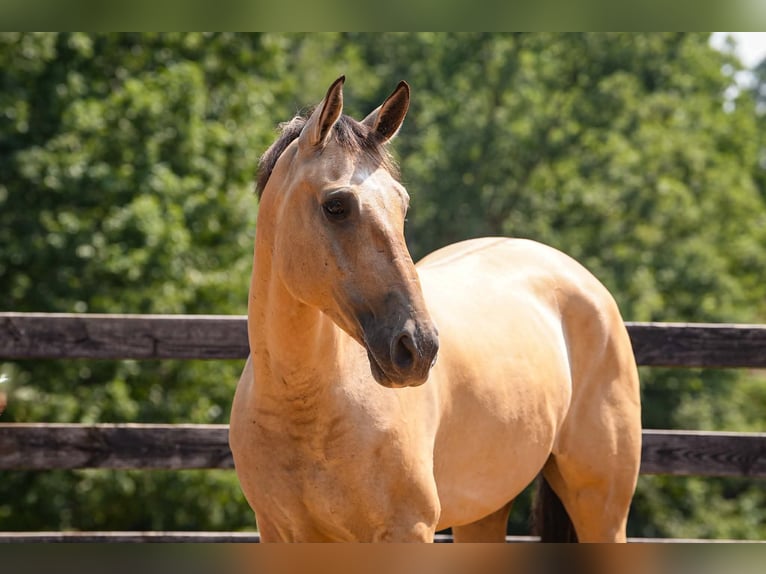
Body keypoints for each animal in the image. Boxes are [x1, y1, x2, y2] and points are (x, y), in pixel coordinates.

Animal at [229, 76, 642, 542]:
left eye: (402, 204)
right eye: (336, 205)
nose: (419, 347)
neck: (304, 407)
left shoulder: (408, 529)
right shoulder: (278, 532)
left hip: (601, 510)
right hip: (484, 512)